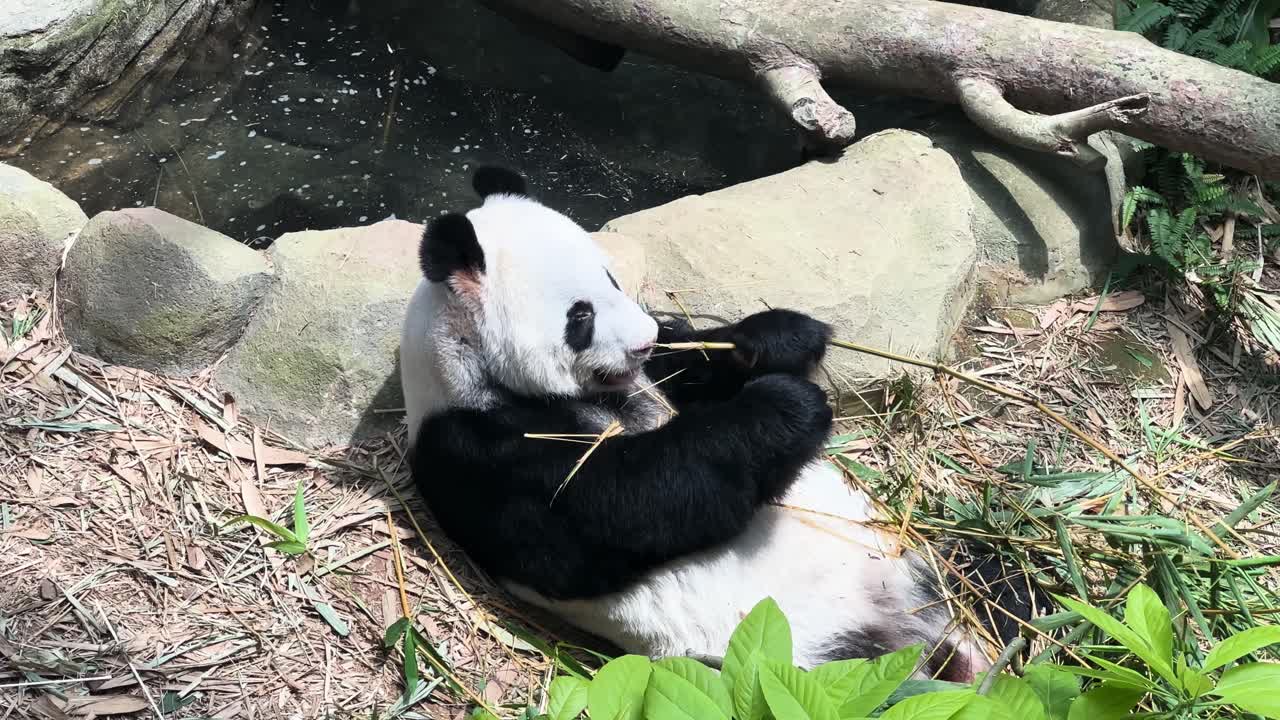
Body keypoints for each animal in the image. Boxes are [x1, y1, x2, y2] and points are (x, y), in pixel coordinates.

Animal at [400, 166, 1028, 680]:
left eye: (613, 279)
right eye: (581, 316)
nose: (642, 339)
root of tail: (924, 636)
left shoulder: (656, 375)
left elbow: (698, 363)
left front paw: (777, 337)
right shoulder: (480, 451)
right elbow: (621, 505)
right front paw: (785, 407)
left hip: (919, 556)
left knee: (998, 574)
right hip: (806, 664)